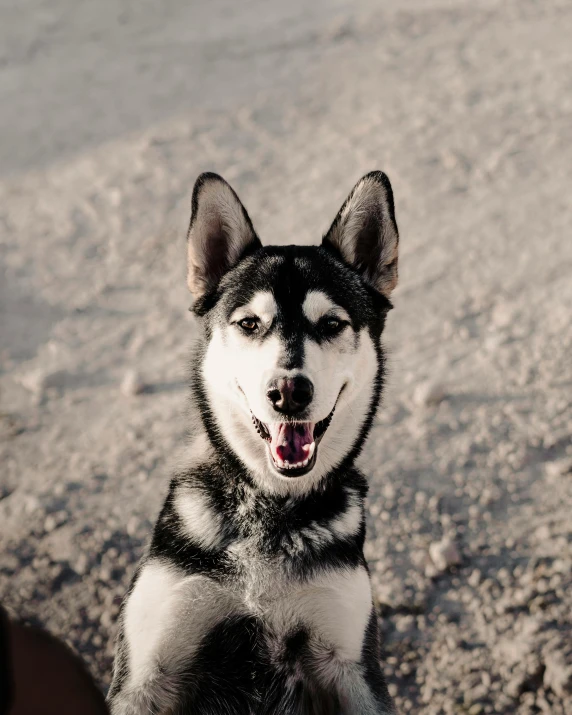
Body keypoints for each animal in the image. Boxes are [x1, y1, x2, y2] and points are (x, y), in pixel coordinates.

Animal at [109, 171, 400, 712]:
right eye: (249, 323)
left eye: (332, 324)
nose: (288, 391)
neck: (269, 508)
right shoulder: (146, 676)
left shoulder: (352, 668)